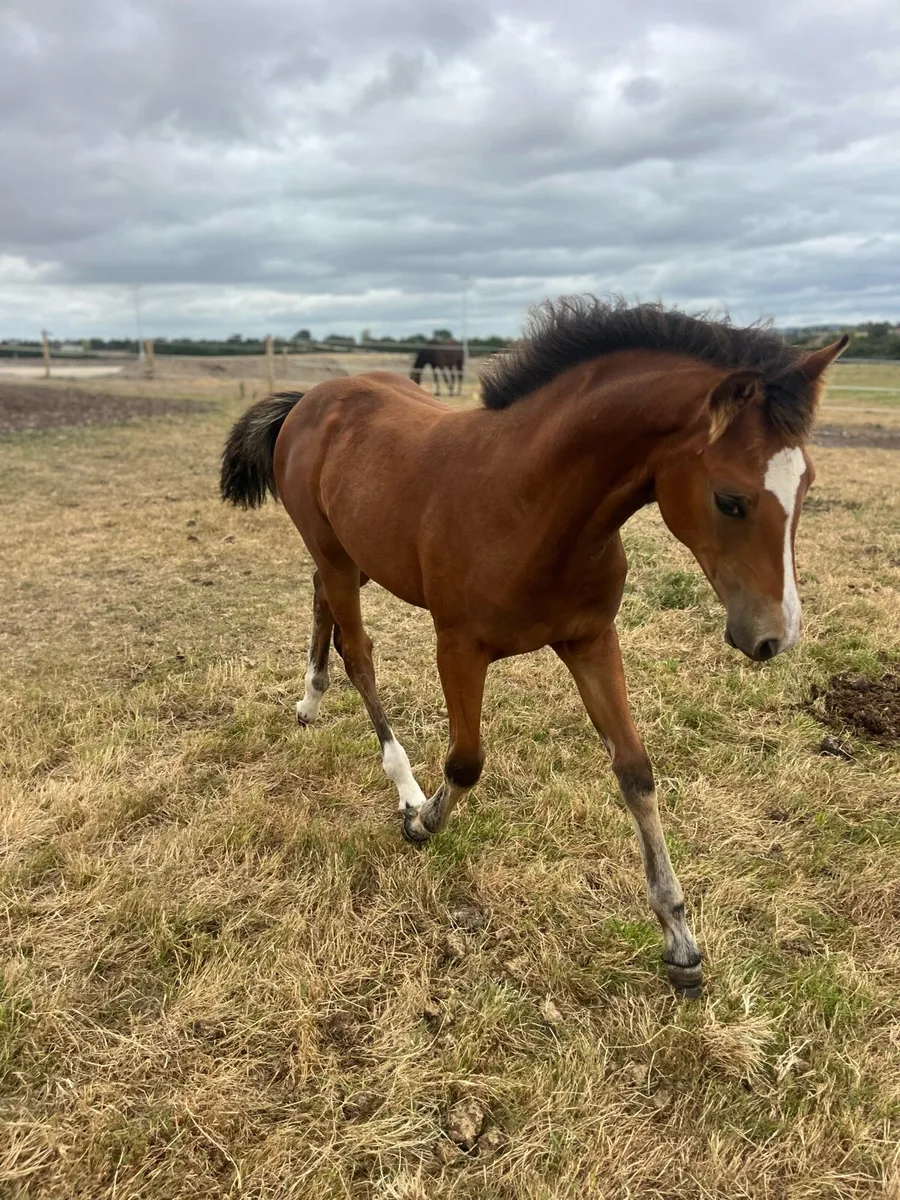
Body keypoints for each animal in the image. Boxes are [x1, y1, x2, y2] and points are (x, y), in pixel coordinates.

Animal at [221, 296, 847, 998]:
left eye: (806, 486)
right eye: (730, 500)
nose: (774, 637)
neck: (530, 504)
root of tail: (311, 399)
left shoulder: (591, 640)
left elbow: (636, 770)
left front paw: (680, 942)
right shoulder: (457, 648)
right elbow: (466, 762)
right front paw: (423, 822)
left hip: (351, 558)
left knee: (320, 601)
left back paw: (310, 702)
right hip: (333, 553)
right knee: (359, 653)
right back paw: (401, 783)